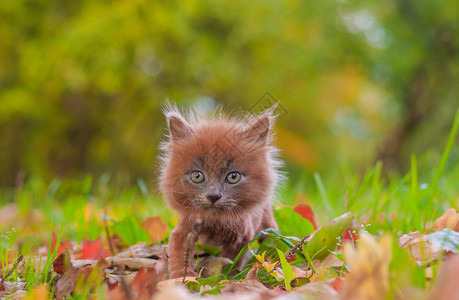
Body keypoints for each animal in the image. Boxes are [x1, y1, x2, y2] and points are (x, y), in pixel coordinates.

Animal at [161, 104, 284, 278]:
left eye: (233, 177)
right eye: (197, 176)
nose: (213, 196)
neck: (215, 221)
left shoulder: (240, 239)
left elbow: (230, 263)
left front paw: (225, 278)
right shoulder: (183, 231)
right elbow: (180, 258)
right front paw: (183, 279)